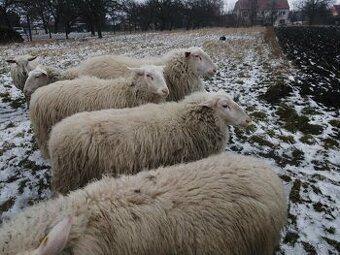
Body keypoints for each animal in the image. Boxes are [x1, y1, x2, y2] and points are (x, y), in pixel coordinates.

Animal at [29, 64, 169, 158]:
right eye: (148, 75)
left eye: (163, 73)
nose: (165, 90)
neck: (128, 92)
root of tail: (37, 95)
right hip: (44, 131)